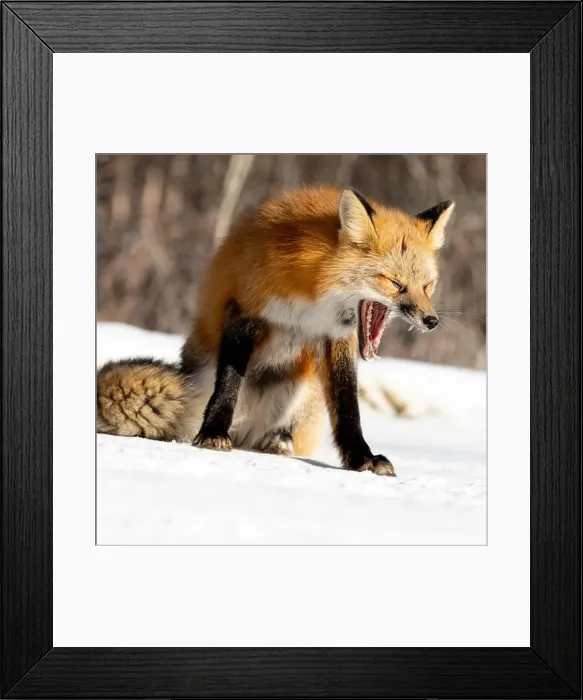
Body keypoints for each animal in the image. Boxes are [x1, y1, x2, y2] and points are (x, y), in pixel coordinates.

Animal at [97, 186, 454, 476]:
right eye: (395, 283)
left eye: (427, 286)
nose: (431, 321)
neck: (315, 298)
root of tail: (248, 430)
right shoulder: (246, 311)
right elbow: (229, 384)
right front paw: (213, 433)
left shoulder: (337, 335)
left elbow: (347, 406)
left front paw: (361, 459)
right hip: (201, 381)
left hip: (305, 389)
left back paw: (277, 440)